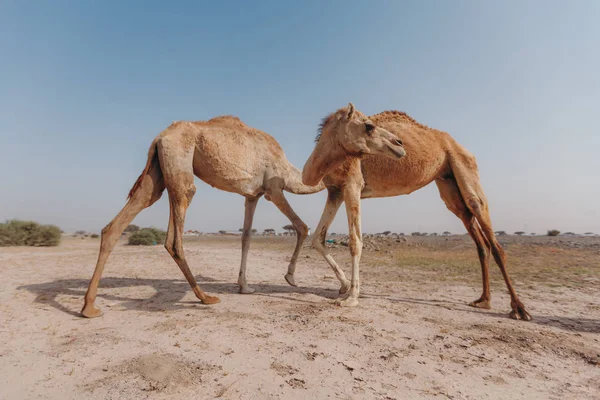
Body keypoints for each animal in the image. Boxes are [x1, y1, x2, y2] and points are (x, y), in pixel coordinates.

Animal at [81, 115, 324, 318]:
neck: (289, 171)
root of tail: (160, 137)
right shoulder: (273, 189)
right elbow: (302, 227)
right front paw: (290, 278)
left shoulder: (252, 196)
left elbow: (246, 238)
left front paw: (245, 286)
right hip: (180, 166)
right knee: (174, 238)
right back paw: (205, 297)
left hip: (157, 172)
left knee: (123, 217)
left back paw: (88, 307)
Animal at [302, 104, 532, 322]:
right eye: (369, 126)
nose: (399, 143)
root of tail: (460, 146)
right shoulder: (335, 191)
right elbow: (318, 238)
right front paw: (344, 287)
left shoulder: (352, 185)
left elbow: (355, 242)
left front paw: (351, 298)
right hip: (449, 185)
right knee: (479, 239)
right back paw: (483, 300)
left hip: (465, 168)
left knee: (487, 226)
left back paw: (519, 309)